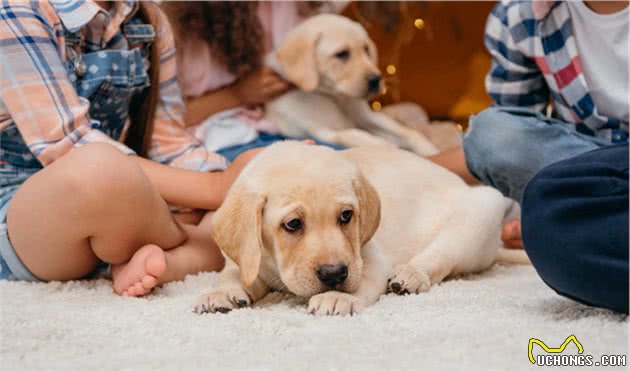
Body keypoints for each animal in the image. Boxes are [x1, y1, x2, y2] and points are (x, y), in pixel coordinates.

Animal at [195, 142, 532, 316]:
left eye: (346, 216)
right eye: (292, 224)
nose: (334, 275)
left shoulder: (368, 257)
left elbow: (364, 278)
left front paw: (339, 297)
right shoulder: (245, 256)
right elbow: (233, 274)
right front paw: (221, 292)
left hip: (480, 212)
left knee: (440, 257)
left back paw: (410, 274)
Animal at [266, 14, 440, 157]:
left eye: (366, 49)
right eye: (342, 54)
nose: (376, 79)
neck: (335, 98)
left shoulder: (366, 117)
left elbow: (408, 132)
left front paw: (430, 150)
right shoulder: (320, 131)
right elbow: (351, 134)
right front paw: (386, 146)